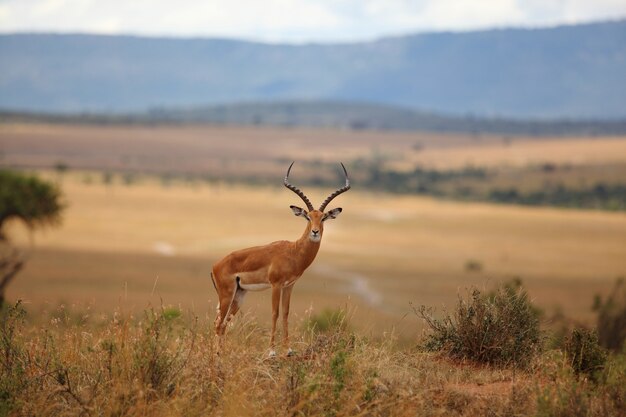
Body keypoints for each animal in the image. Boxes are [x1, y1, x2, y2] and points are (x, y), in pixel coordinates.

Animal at [208, 161, 346, 356]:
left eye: (324, 218)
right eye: (308, 217)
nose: (315, 232)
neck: (293, 252)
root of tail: (215, 266)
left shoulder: (289, 285)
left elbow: (286, 313)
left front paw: (288, 350)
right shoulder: (275, 284)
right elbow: (275, 313)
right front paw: (271, 352)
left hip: (239, 294)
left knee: (222, 323)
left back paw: (221, 353)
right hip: (227, 295)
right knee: (218, 323)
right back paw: (217, 355)